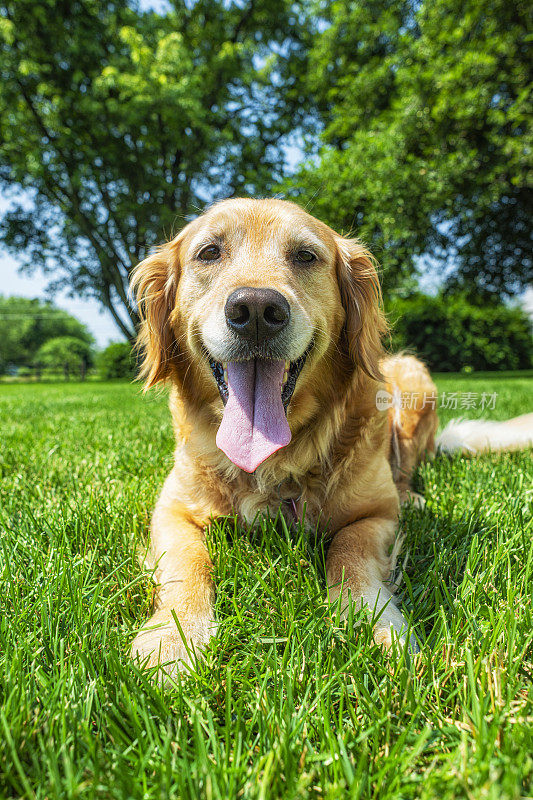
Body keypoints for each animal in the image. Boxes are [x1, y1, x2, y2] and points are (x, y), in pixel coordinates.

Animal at [130, 197, 532, 672]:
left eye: (305, 256)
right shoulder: (171, 510)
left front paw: (369, 621)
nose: (256, 311)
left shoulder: (376, 513)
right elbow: (186, 563)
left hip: (414, 380)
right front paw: (173, 638)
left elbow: (349, 550)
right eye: (209, 252)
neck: (276, 459)